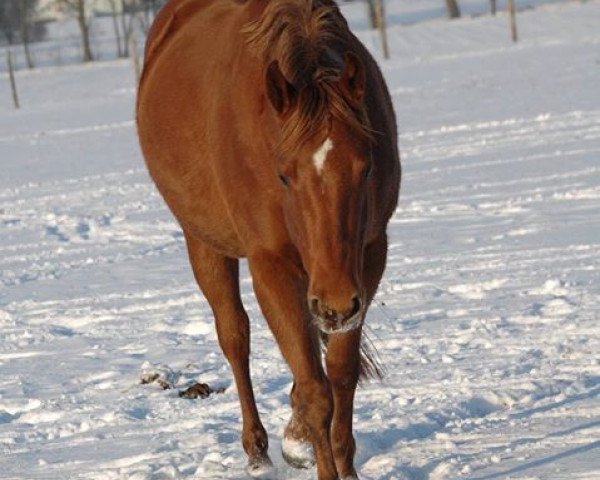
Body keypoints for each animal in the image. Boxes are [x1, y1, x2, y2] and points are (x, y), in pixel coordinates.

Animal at [138, 0, 400, 480]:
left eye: (367, 168)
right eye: (283, 176)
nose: (336, 304)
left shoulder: (369, 257)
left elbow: (340, 374)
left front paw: (338, 459)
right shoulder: (271, 265)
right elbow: (316, 391)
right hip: (206, 245)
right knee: (234, 337)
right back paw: (256, 450)